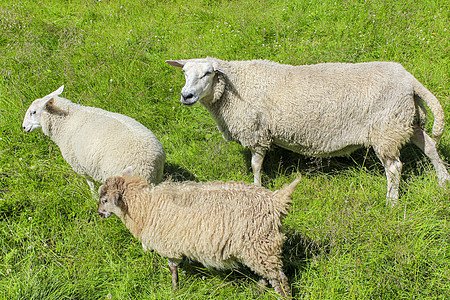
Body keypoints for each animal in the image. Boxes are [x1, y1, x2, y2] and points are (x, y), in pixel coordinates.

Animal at [21, 85, 165, 191]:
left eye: (33, 112)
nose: (23, 127)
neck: (66, 119)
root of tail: (153, 163)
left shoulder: (78, 164)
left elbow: (89, 182)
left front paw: (93, 195)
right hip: (156, 178)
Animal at [96, 168, 300, 296]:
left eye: (105, 200)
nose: (99, 213)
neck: (145, 205)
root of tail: (275, 201)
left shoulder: (169, 244)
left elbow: (172, 269)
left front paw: (175, 290)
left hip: (260, 242)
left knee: (279, 278)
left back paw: (282, 295)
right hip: (260, 246)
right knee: (268, 274)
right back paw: (257, 291)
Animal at [166, 57, 450, 205]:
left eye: (208, 73)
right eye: (184, 72)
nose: (186, 96)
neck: (235, 86)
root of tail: (409, 80)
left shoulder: (257, 132)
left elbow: (256, 164)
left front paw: (257, 188)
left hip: (385, 128)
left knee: (394, 167)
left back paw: (391, 201)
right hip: (404, 120)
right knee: (430, 147)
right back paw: (443, 180)